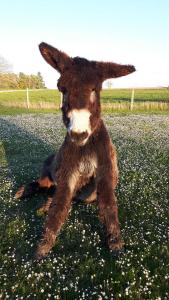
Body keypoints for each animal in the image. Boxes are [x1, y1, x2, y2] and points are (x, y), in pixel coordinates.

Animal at [15, 42, 135, 260]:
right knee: (41, 184)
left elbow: (109, 206)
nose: (78, 134)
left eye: (95, 89)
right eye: (62, 89)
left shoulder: (105, 173)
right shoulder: (67, 174)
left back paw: (45, 203)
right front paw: (42, 248)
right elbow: (59, 207)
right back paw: (25, 192)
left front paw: (116, 244)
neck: (84, 146)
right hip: (49, 174)